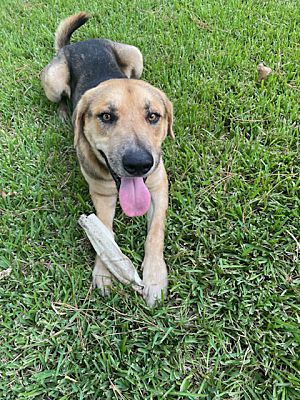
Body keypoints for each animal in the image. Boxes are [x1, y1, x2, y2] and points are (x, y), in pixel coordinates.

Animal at [41, 12, 175, 306]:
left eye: (153, 116)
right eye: (106, 116)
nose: (138, 164)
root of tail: (78, 43)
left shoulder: (159, 186)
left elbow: (155, 233)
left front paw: (154, 277)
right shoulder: (101, 194)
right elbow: (104, 230)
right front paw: (105, 270)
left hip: (135, 55)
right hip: (53, 82)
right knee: (60, 97)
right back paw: (63, 113)